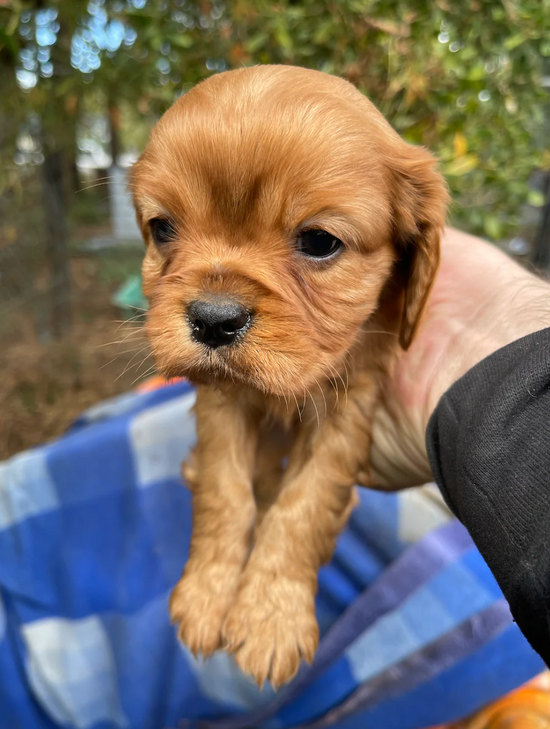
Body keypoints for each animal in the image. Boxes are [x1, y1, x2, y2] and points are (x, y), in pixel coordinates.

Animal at [132, 64, 450, 688]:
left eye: (319, 242)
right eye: (162, 229)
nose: (213, 319)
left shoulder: (350, 406)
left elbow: (303, 504)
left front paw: (271, 617)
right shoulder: (222, 403)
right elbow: (226, 490)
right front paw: (209, 593)